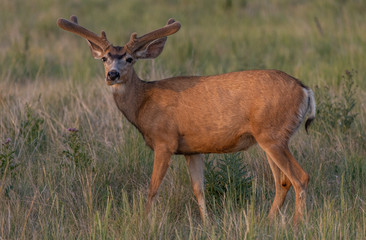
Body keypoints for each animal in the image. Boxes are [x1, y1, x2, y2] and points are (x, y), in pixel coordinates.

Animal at [56, 15, 314, 224]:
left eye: (129, 59)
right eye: (104, 59)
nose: (112, 74)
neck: (143, 103)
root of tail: (305, 90)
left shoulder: (165, 141)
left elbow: (152, 188)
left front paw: (144, 221)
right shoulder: (192, 149)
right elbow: (198, 189)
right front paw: (207, 224)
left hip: (272, 135)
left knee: (300, 177)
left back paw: (296, 224)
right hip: (268, 138)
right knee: (282, 182)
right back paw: (268, 221)